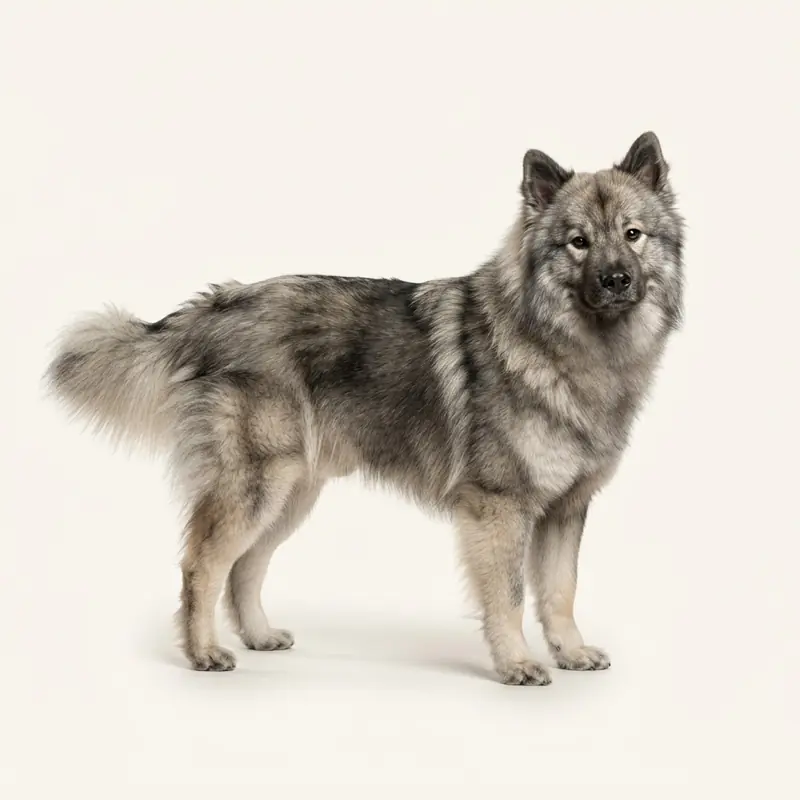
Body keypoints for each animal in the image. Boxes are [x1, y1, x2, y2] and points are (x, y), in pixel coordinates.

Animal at [46, 132, 683, 685]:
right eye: (578, 241)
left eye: (633, 234)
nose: (616, 279)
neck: (568, 348)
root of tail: (217, 305)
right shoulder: (500, 507)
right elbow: (508, 596)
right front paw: (517, 664)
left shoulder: (565, 510)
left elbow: (559, 591)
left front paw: (570, 652)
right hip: (258, 487)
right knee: (202, 565)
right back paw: (204, 652)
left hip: (293, 493)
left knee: (245, 568)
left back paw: (258, 636)